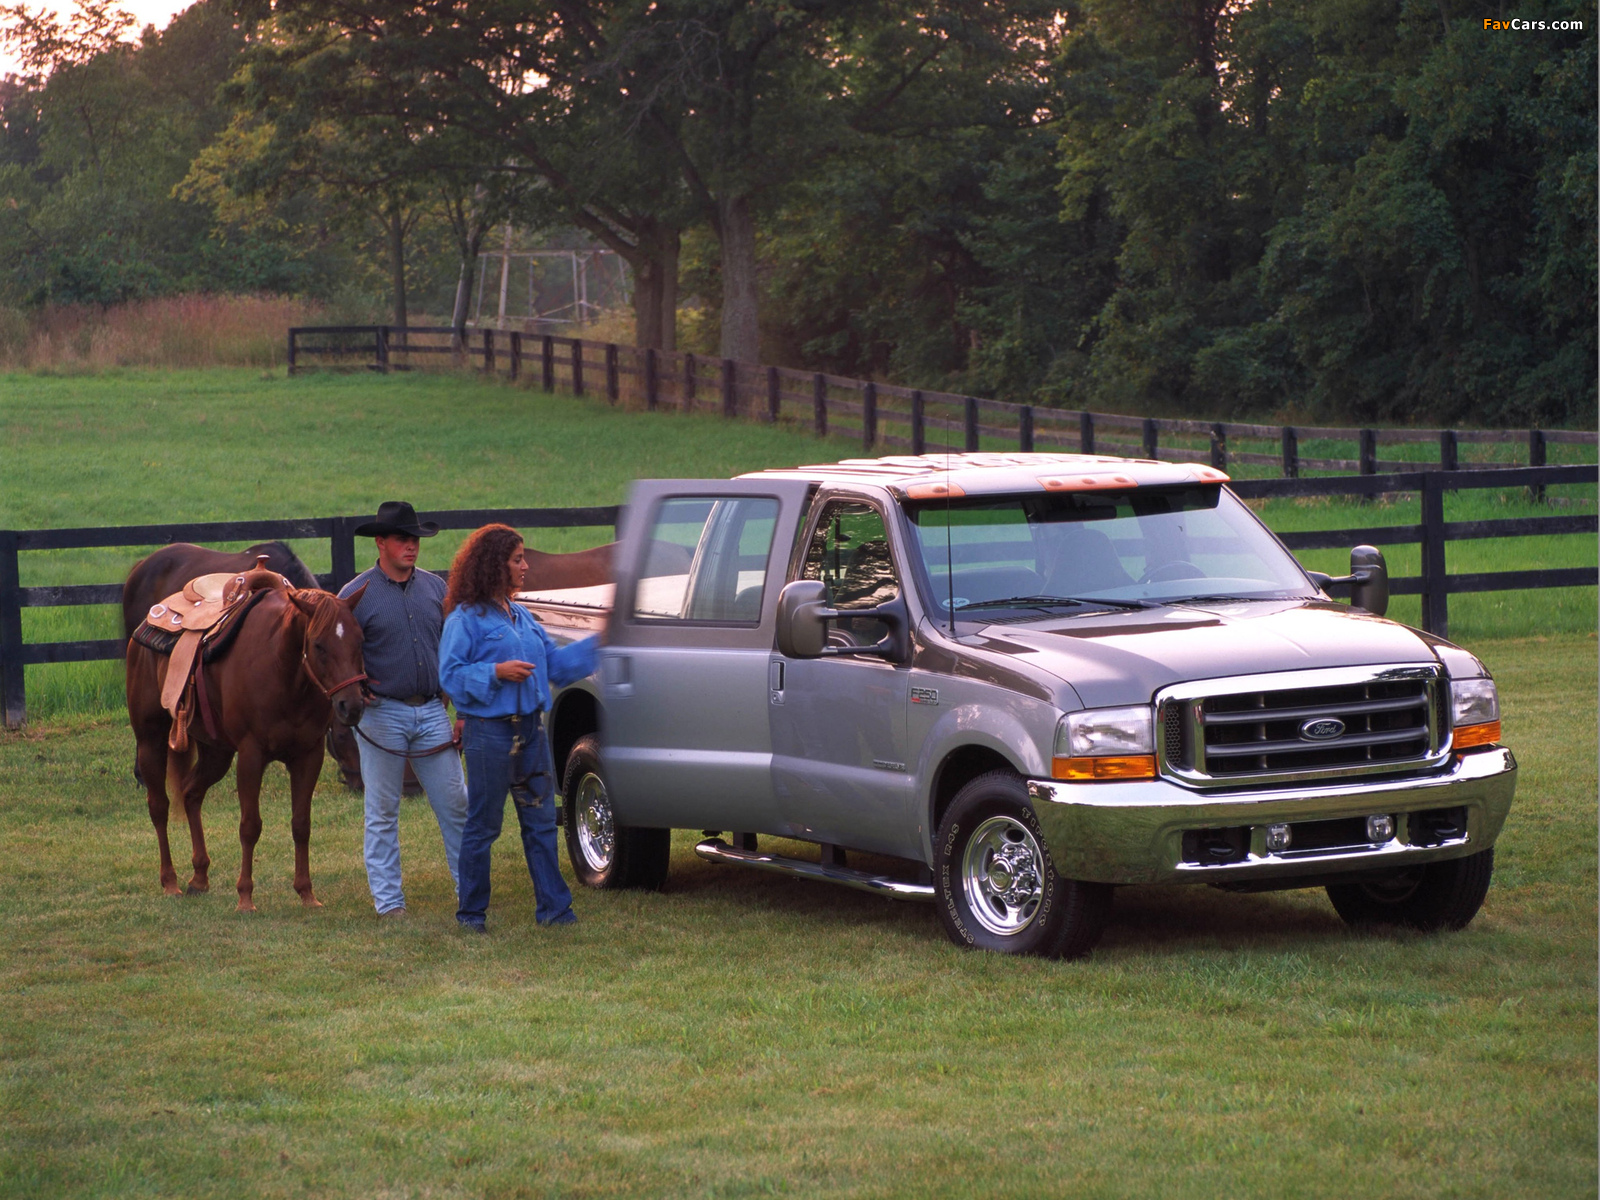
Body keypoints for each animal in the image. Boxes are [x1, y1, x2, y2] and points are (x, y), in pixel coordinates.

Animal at [128, 588, 368, 908]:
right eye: (318, 645)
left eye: (360, 640)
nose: (351, 706)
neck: (283, 671)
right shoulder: (251, 756)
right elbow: (250, 826)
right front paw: (245, 896)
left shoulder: (309, 756)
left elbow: (301, 824)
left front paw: (306, 892)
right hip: (150, 740)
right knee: (159, 806)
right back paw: (170, 881)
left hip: (216, 752)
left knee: (191, 793)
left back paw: (199, 877)